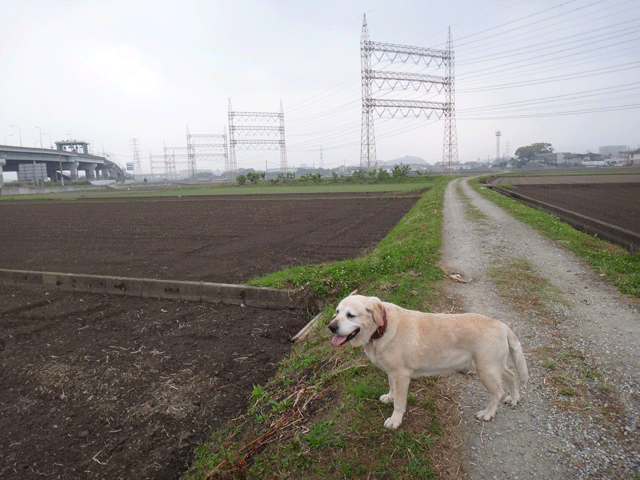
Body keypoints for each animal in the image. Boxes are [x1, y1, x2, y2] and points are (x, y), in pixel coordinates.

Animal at [328, 294, 528, 430]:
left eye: (351, 315)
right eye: (336, 312)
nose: (331, 327)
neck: (381, 328)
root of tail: (502, 326)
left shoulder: (401, 375)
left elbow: (399, 402)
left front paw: (395, 420)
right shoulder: (392, 372)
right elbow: (392, 387)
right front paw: (389, 397)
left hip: (486, 369)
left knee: (498, 393)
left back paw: (488, 413)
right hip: (493, 366)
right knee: (511, 376)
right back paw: (514, 398)